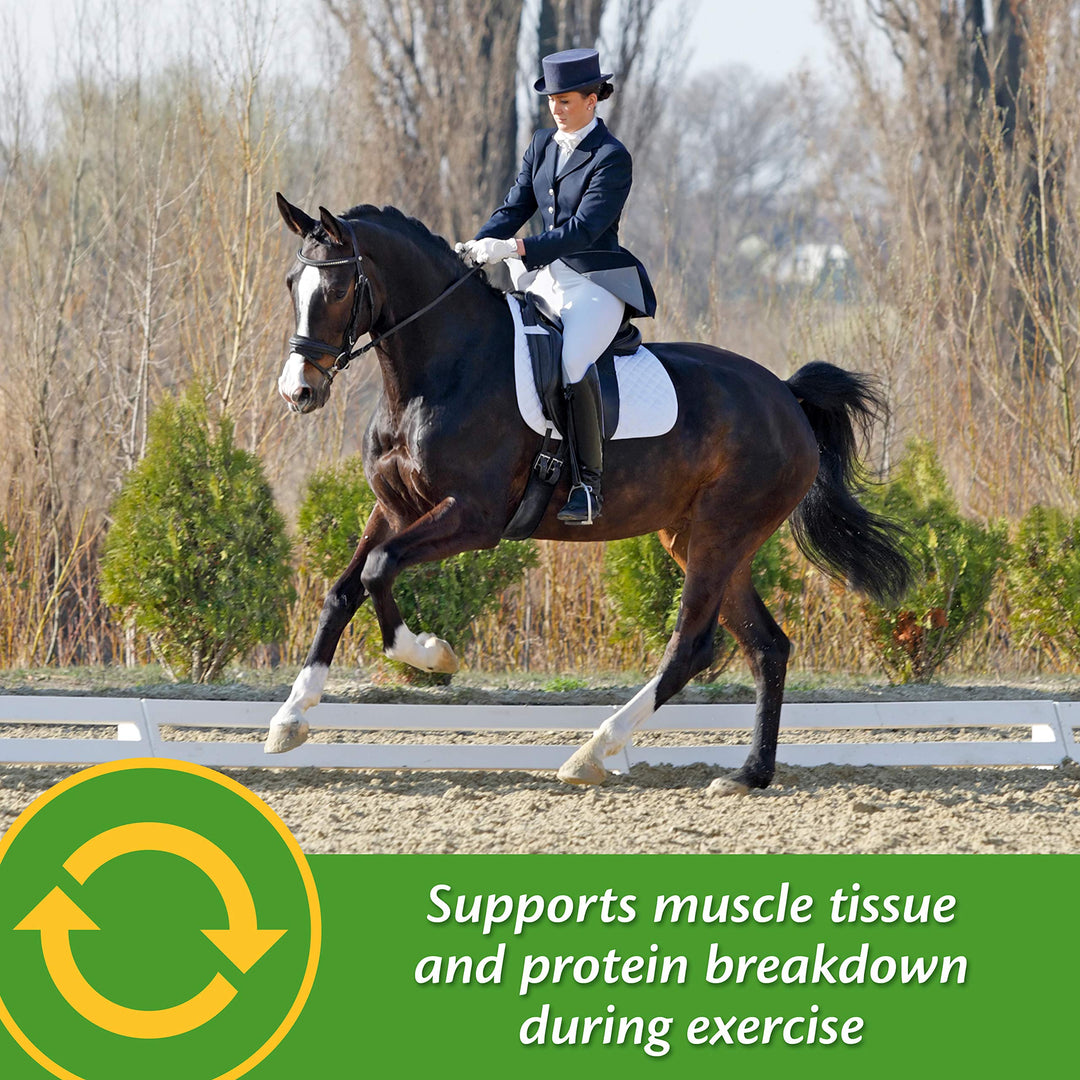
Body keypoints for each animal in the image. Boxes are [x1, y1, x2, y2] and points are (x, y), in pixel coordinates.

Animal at [266, 194, 912, 794]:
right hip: (696, 538)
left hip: (722, 533)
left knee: (692, 645)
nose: (299, 392)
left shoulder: (473, 518)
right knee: (766, 647)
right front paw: (291, 717)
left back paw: (596, 751)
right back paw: (748, 774)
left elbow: (379, 568)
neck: (441, 370)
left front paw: (430, 653)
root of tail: (785, 395)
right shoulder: (395, 508)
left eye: (339, 289)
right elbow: (343, 590)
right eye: (293, 284)